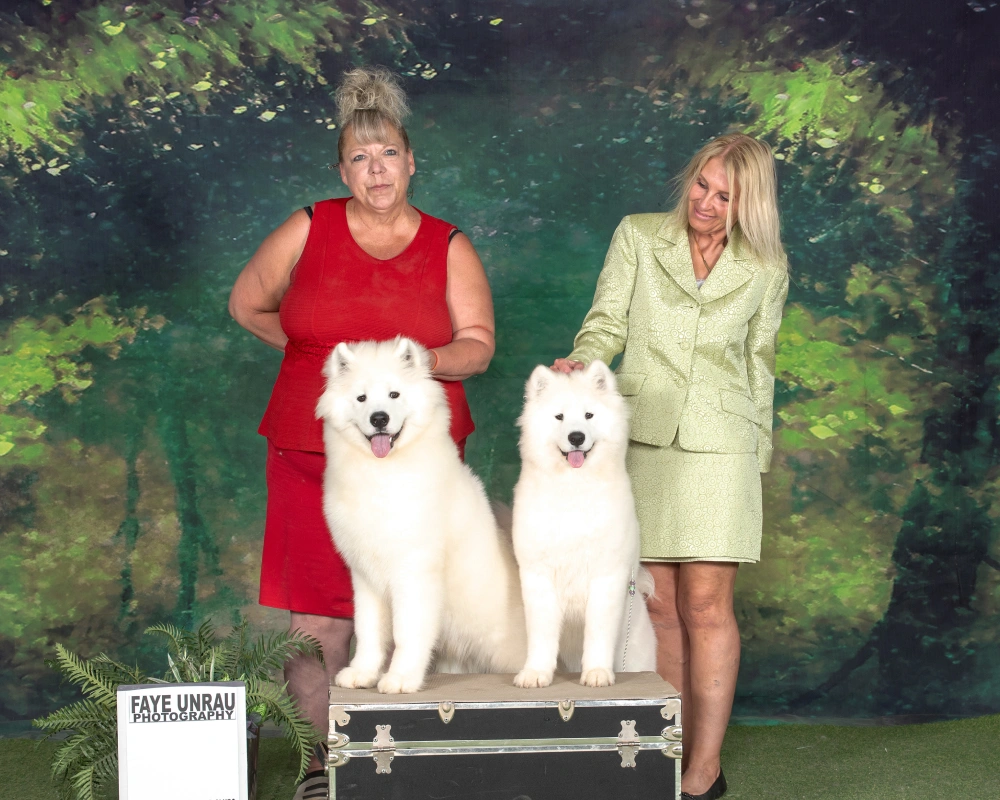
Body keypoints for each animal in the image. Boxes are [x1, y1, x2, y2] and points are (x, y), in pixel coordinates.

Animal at [316, 334, 528, 692]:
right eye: (361, 398)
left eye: (394, 395)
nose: (379, 418)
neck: (381, 475)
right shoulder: (365, 576)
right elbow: (368, 630)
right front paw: (362, 673)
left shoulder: (413, 572)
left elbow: (407, 633)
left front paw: (400, 678)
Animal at [512, 362, 660, 688]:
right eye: (559, 417)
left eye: (589, 415)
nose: (577, 437)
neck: (574, 489)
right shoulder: (538, 576)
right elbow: (541, 635)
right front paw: (536, 674)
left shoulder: (606, 576)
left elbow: (598, 633)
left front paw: (597, 673)